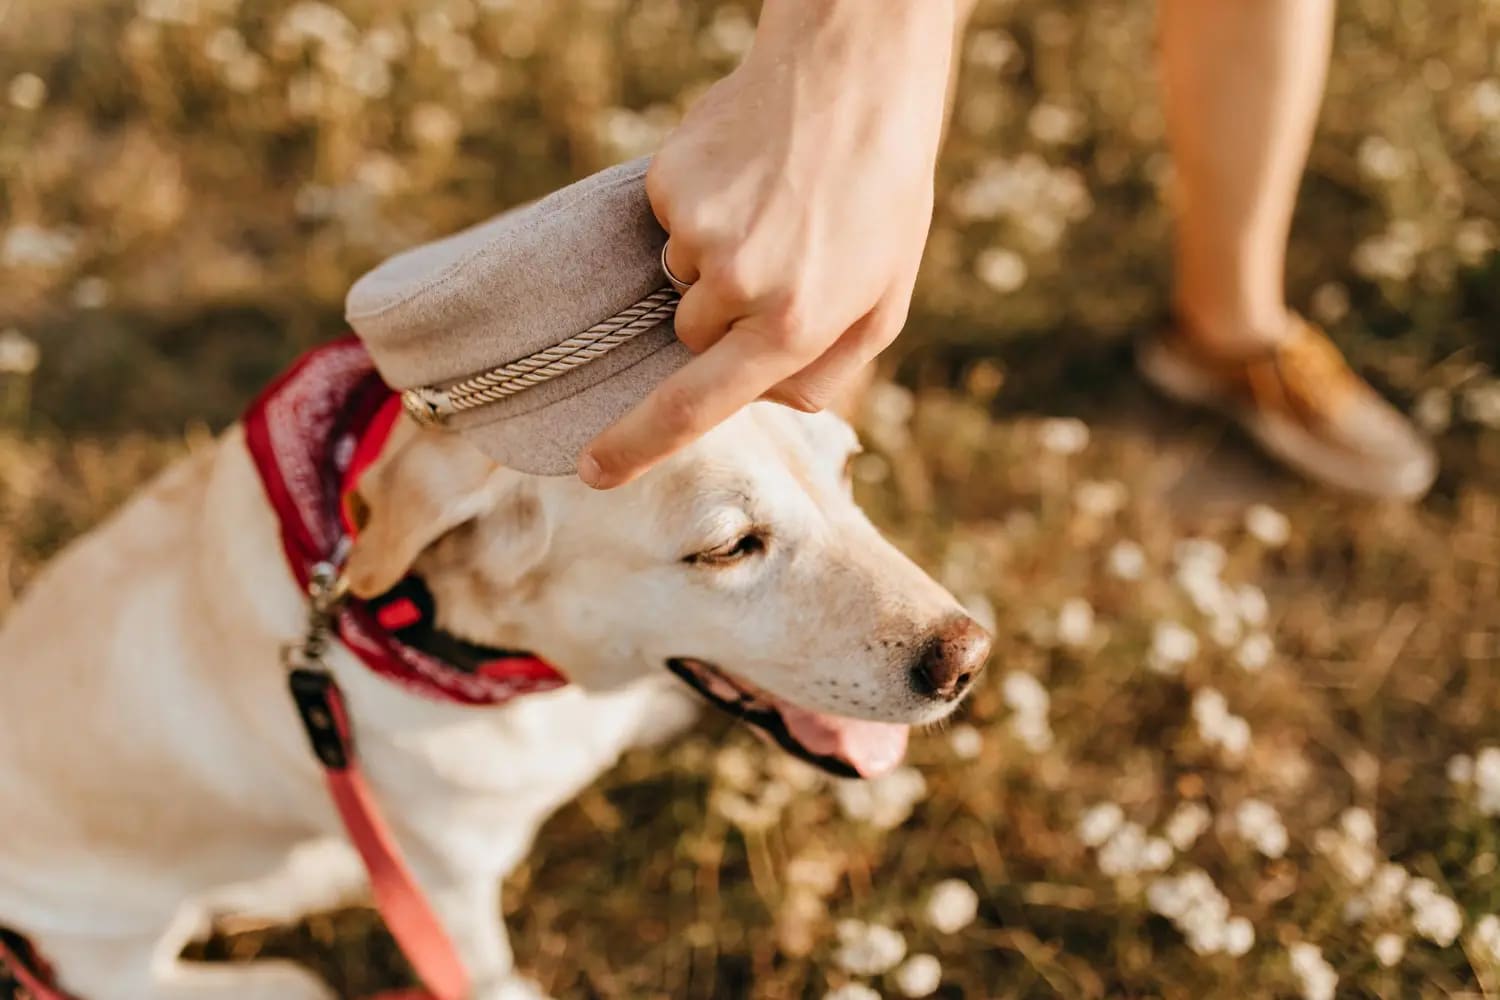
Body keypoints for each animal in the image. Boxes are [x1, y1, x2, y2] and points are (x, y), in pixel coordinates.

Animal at [0, 352, 990, 1000]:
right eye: (727, 548)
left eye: (847, 470)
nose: (969, 658)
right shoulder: (450, 886)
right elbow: (486, 967)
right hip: (122, 926)